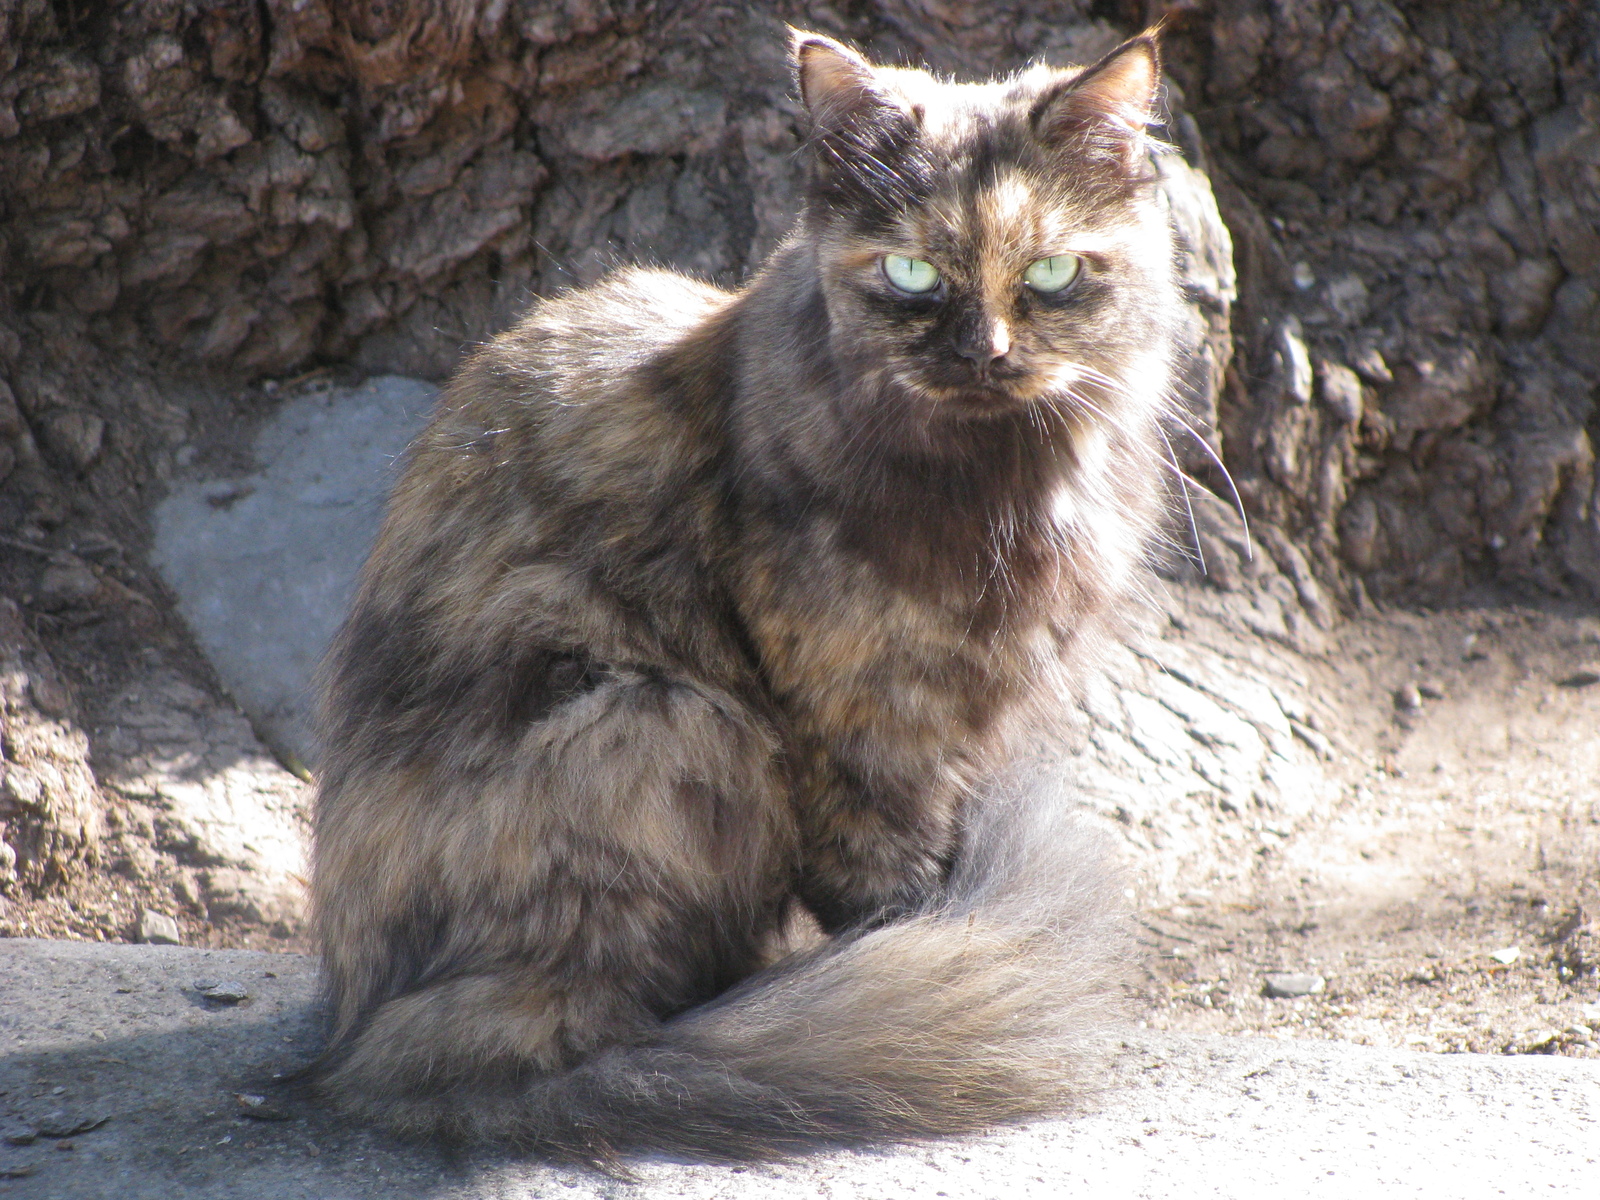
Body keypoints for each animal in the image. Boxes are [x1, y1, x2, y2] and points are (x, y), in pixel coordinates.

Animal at [308, 23, 1190, 1158]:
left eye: (1050, 271)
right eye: (911, 273)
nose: (984, 354)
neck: (1000, 494)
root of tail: (359, 1030)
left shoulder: (978, 709)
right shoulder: (859, 720)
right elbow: (886, 881)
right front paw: (941, 948)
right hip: (664, 717)